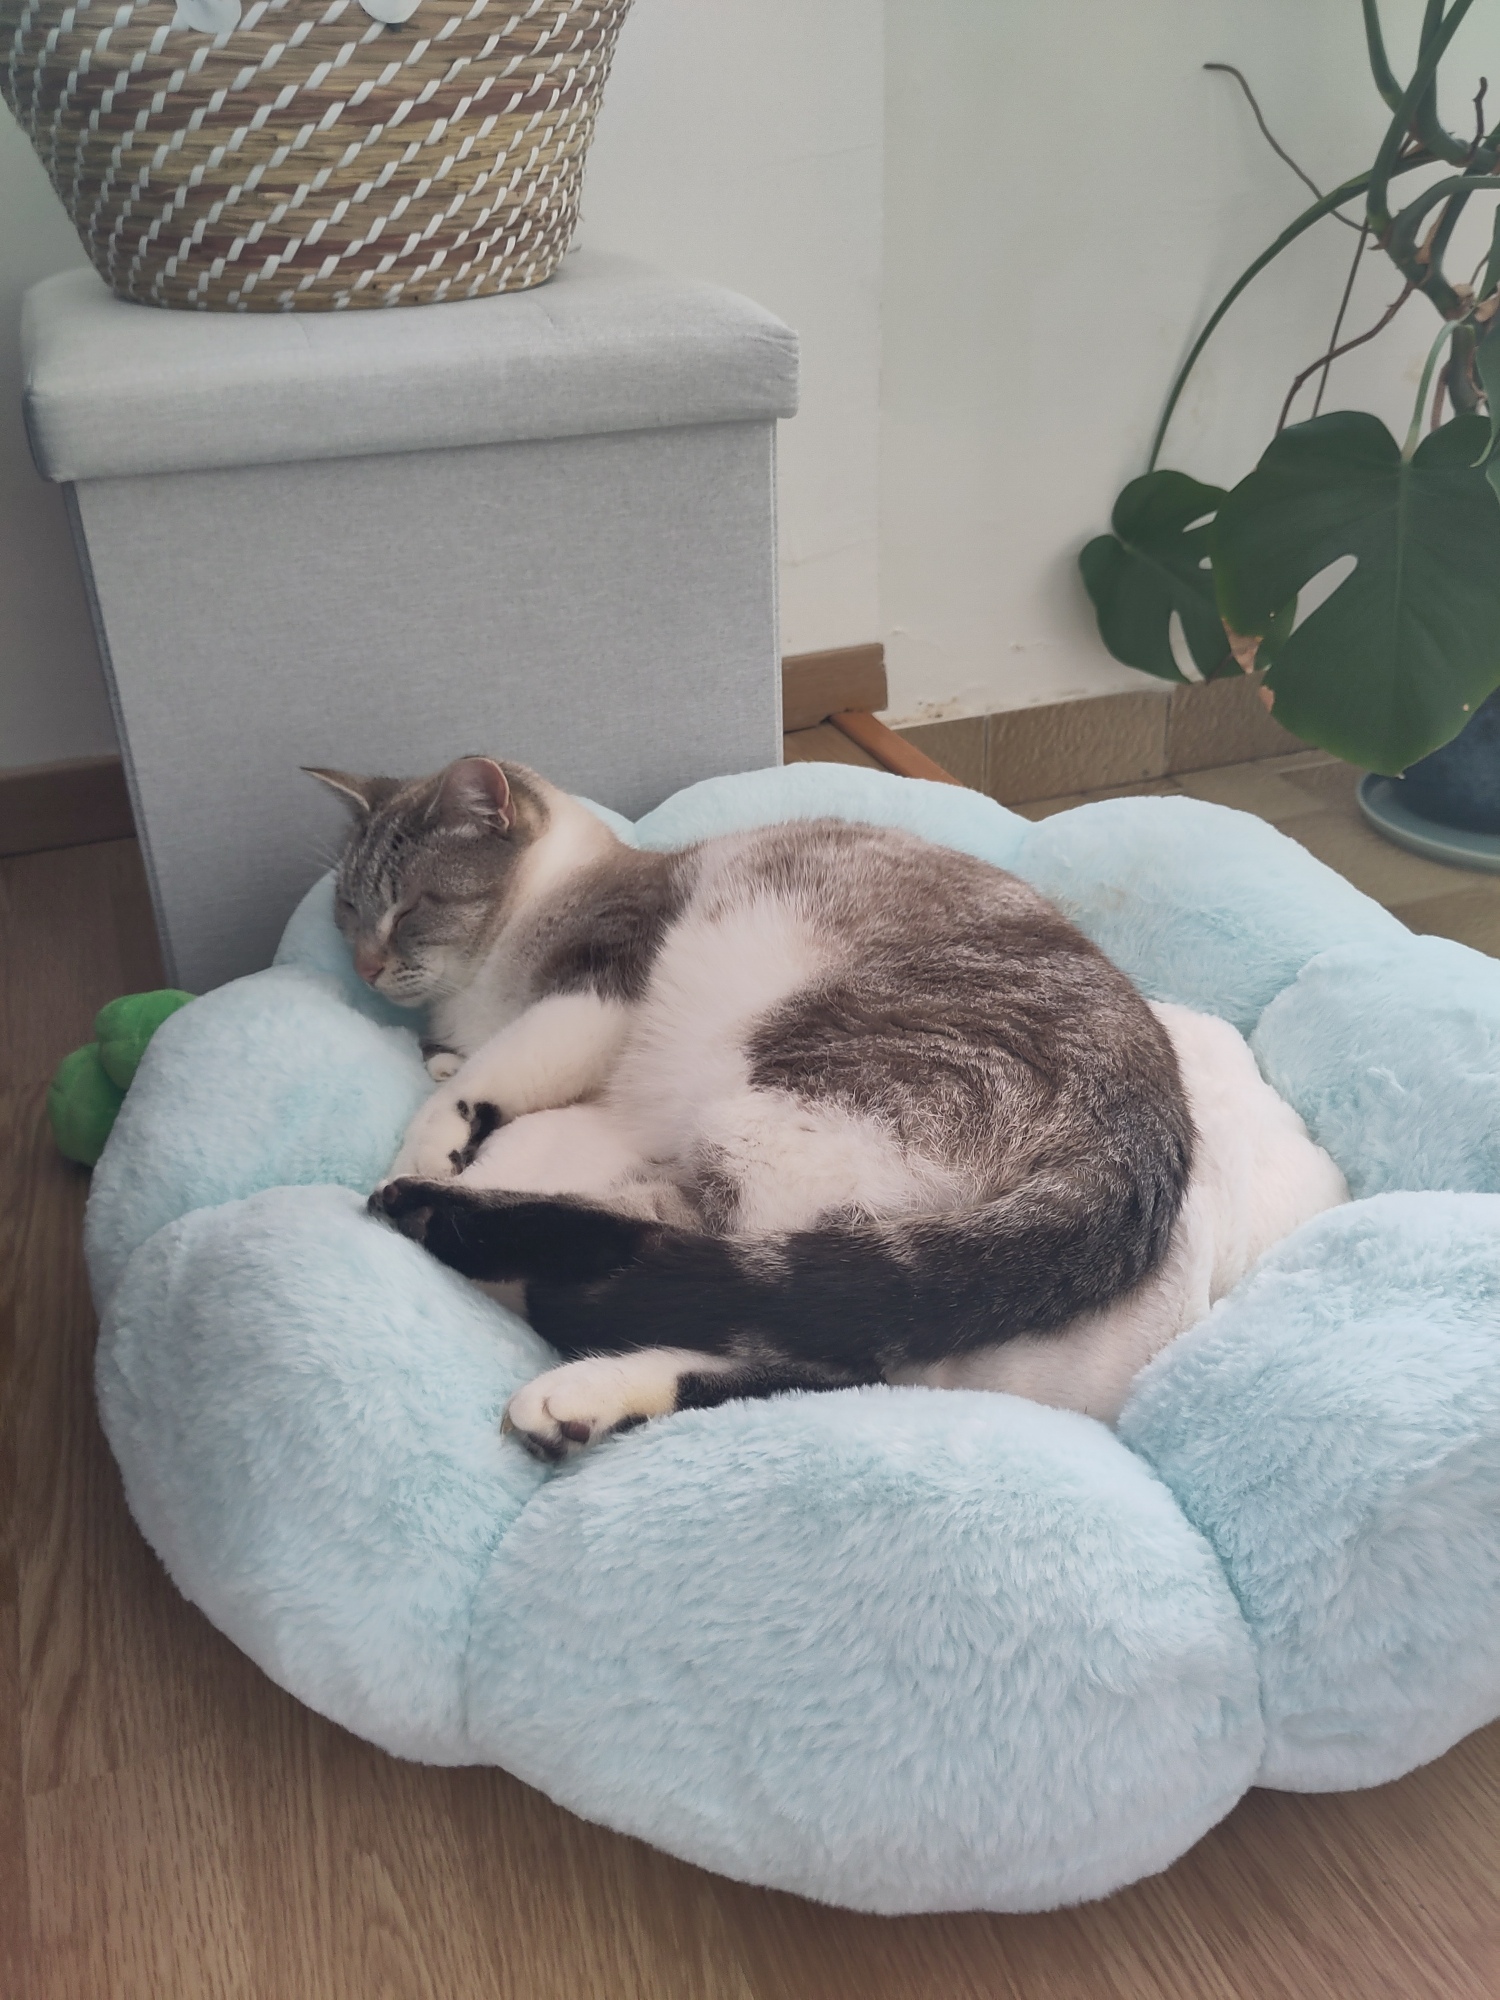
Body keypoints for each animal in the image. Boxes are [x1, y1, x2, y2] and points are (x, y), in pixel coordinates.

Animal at [310, 755, 1346, 1457]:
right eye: (348, 910)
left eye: (414, 904)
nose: (365, 964)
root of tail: (1142, 1146)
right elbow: (479, 1071)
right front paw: (445, 1074)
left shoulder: (601, 988)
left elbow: (497, 1075)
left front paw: (431, 1144)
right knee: (816, 1342)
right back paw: (587, 1397)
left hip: (778, 1105)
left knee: (730, 1283)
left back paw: (457, 1234)